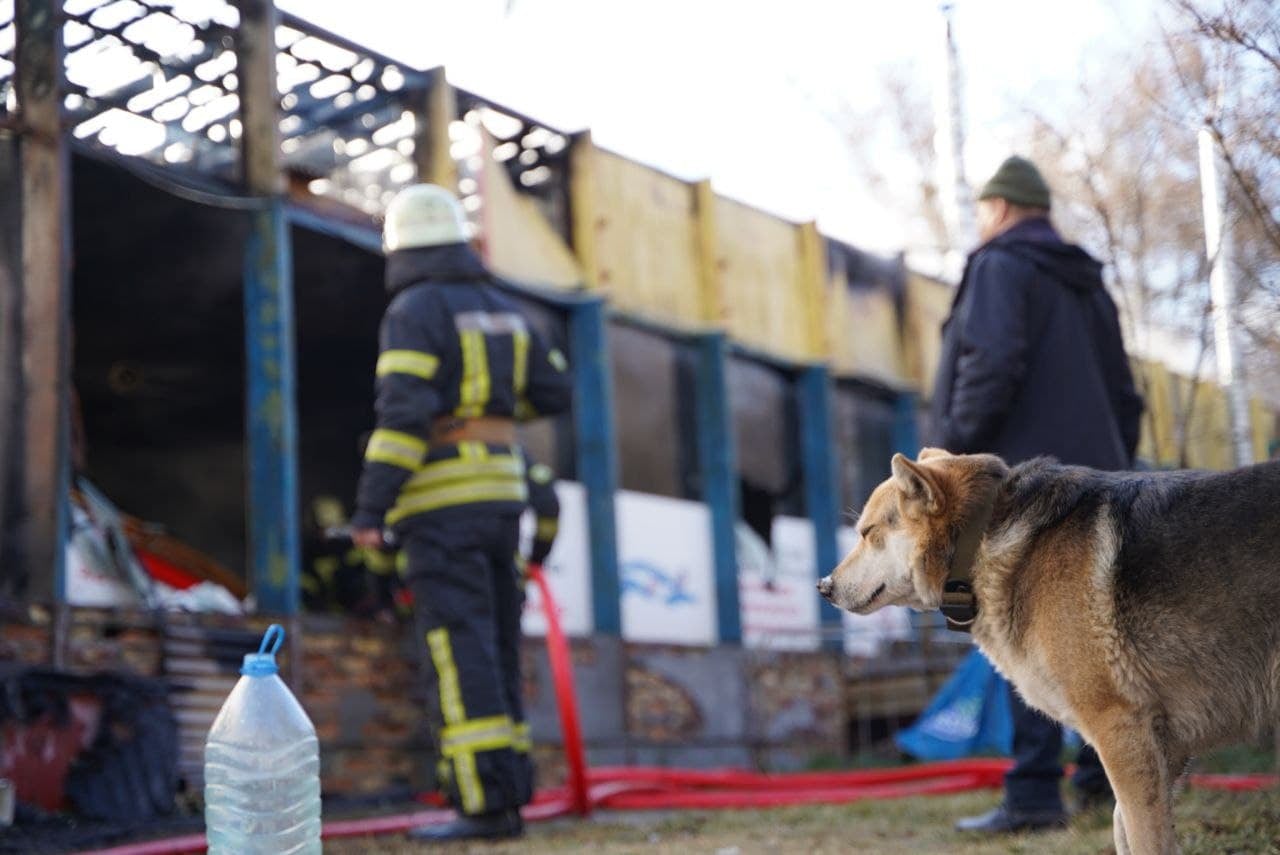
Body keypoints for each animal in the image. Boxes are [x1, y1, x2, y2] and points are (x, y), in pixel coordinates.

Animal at [819, 447, 1280, 855]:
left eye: (867, 534)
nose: (823, 586)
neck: (980, 539)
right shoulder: (1162, 751)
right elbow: (1123, 827)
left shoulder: (1122, 731)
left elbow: (1142, 835)